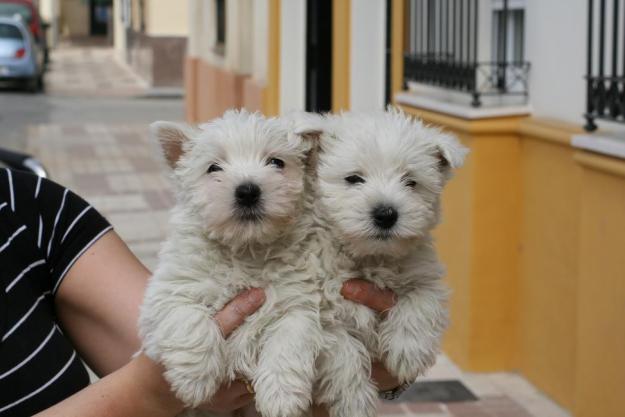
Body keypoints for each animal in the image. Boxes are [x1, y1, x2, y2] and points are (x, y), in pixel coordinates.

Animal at [140, 109, 324, 414]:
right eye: (214, 168)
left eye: (276, 162)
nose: (248, 191)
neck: (247, 250)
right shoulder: (169, 292)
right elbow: (189, 319)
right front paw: (194, 380)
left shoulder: (300, 302)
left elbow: (288, 341)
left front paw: (281, 398)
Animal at [314, 108, 466, 416]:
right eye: (353, 178)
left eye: (411, 181)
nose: (386, 214)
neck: (372, 256)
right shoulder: (323, 311)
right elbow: (343, 353)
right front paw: (354, 402)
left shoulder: (425, 276)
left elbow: (420, 303)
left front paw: (407, 352)